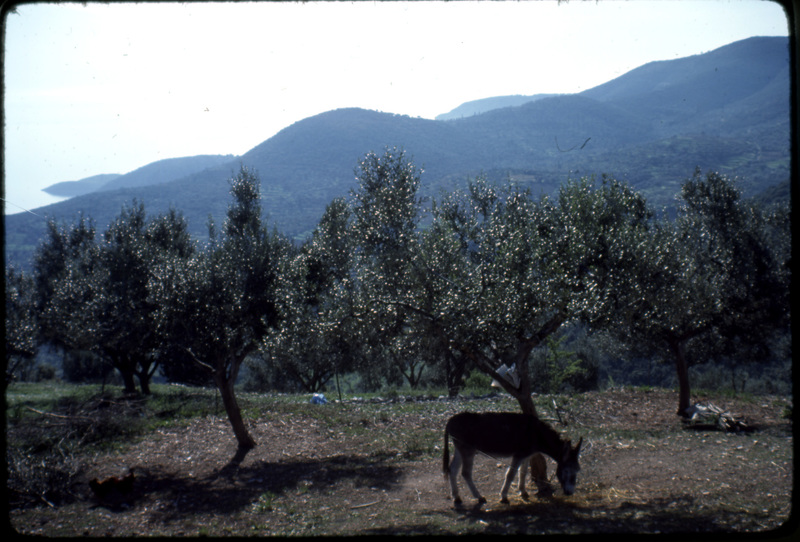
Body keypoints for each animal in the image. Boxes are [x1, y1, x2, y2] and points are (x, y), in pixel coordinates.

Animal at [444, 414, 580, 508]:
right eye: (566, 470)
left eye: (578, 470)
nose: (570, 492)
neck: (537, 434)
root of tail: (451, 420)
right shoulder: (518, 455)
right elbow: (511, 474)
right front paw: (504, 497)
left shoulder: (526, 455)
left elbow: (523, 472)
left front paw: (523, 492)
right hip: (468, 451)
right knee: (466, 473)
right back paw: (479, 497)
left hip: (459, 449)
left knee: (453, 469)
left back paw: (457, 497)